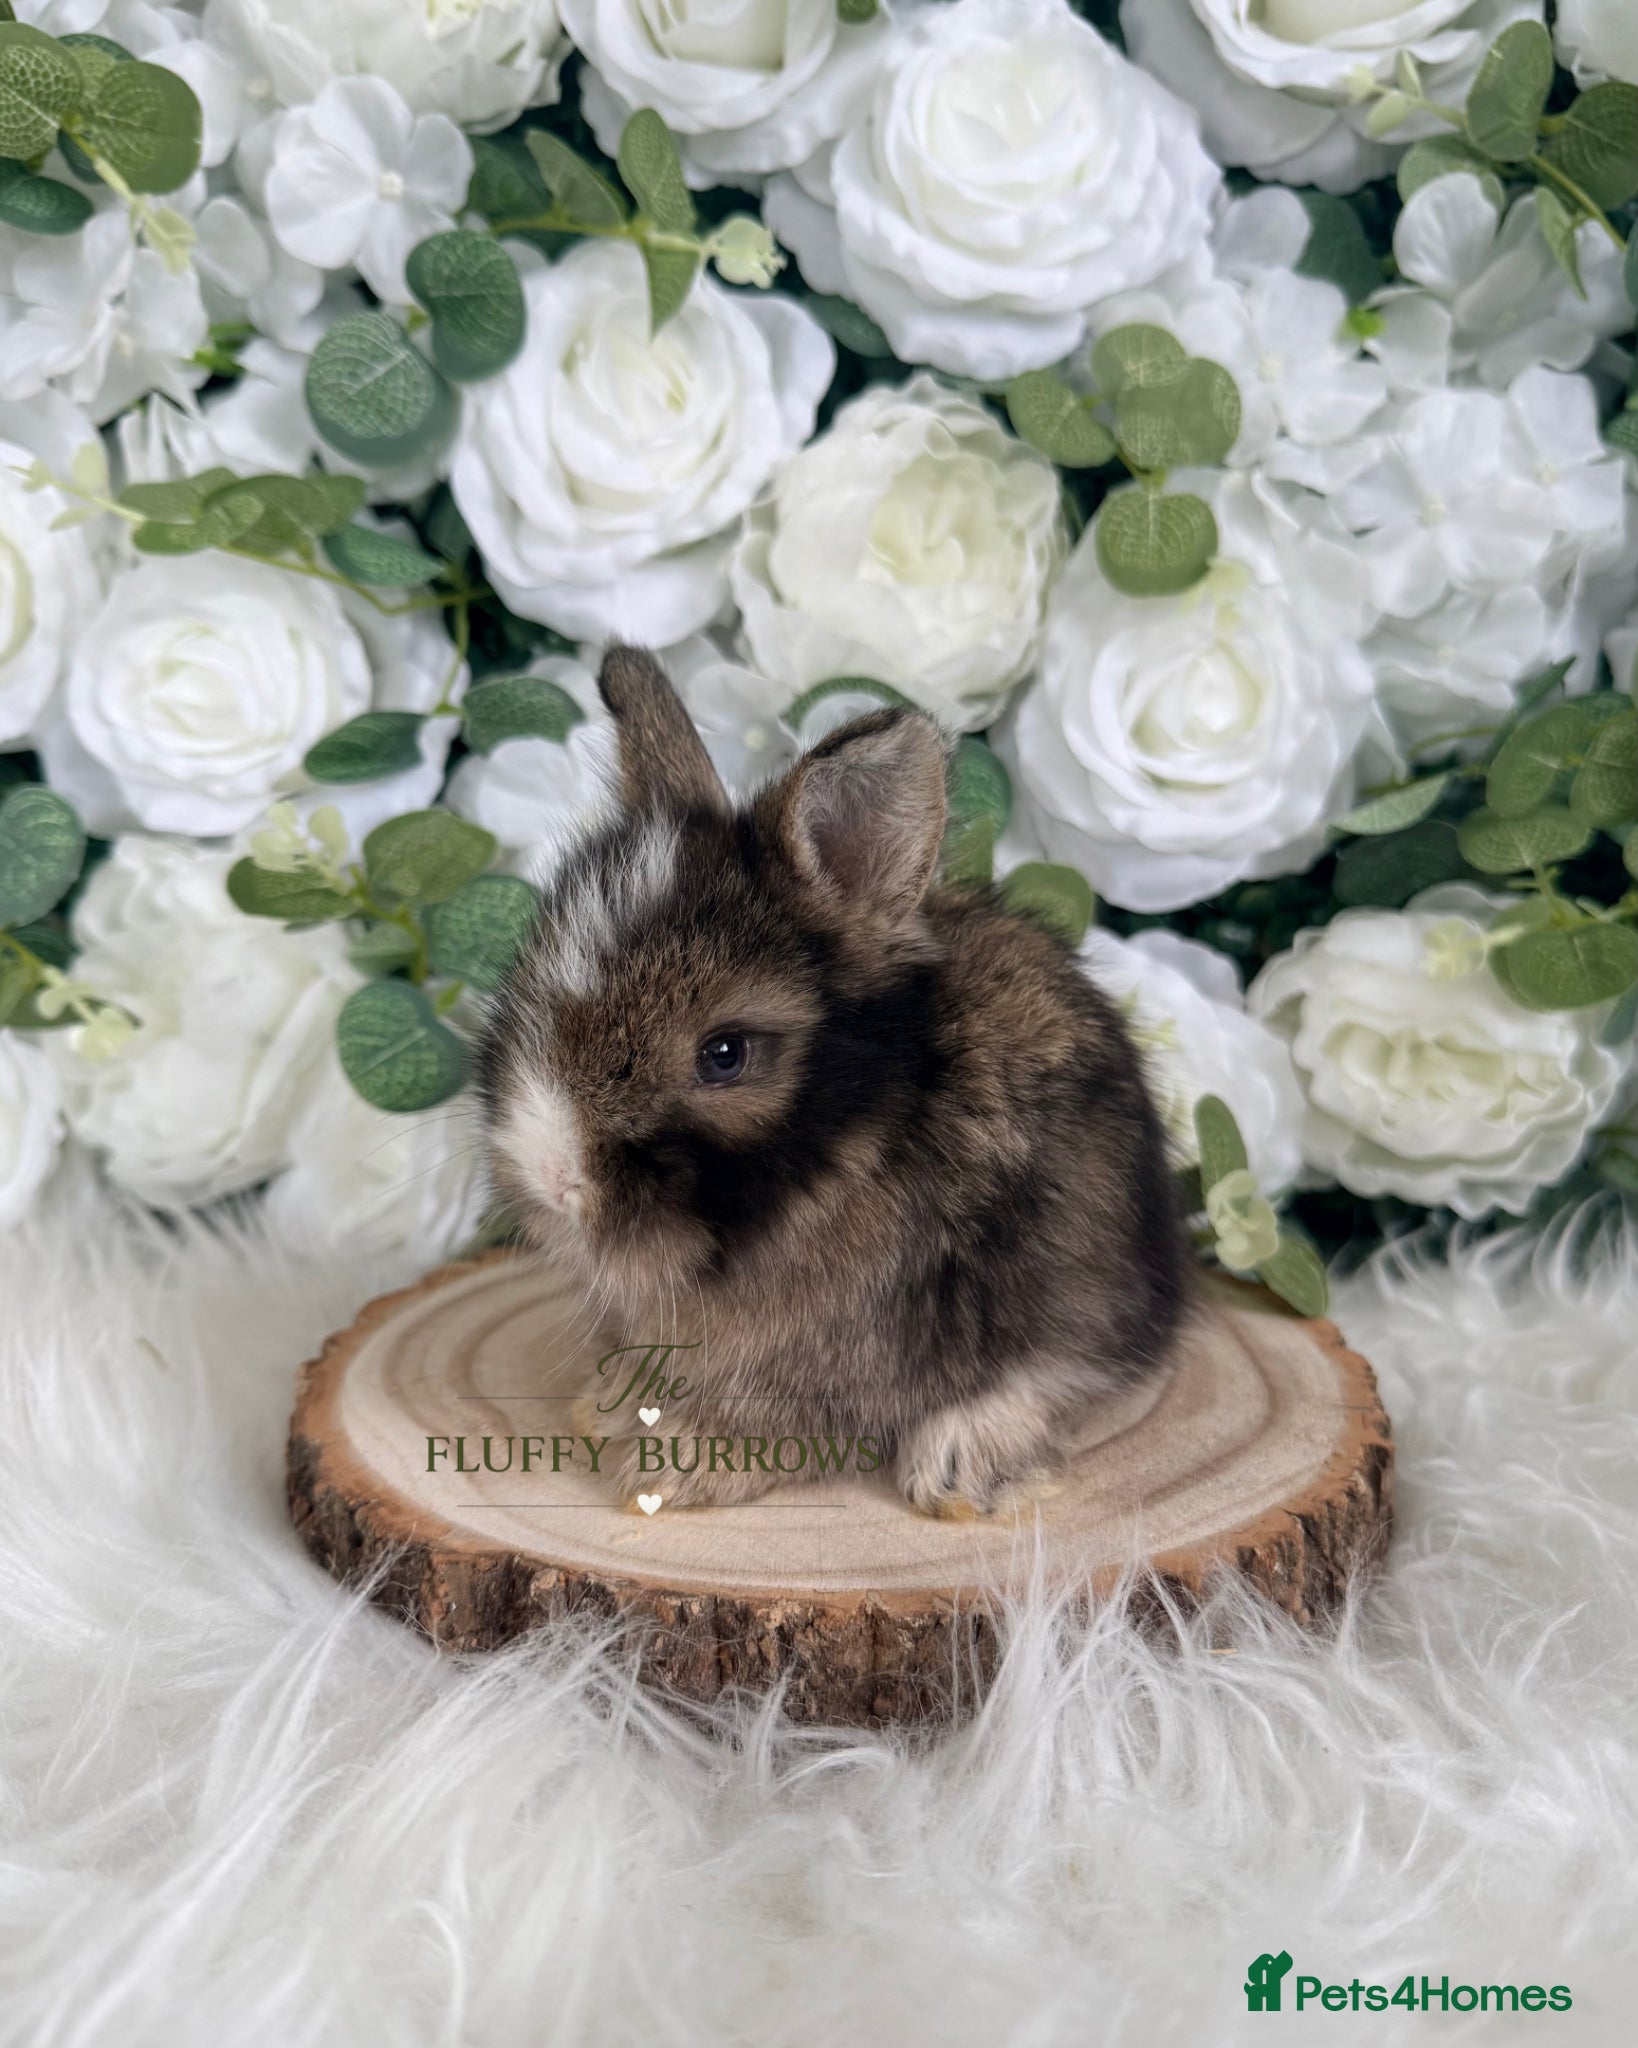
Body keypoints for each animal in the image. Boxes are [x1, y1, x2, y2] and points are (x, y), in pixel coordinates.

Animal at [476, 644, 1190, 1519]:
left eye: (724, 1054)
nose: (552, 1178)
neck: (849, 1154)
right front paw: (616, 1411)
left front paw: (674, 1463)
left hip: (1087, 1260)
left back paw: (958, 1465)